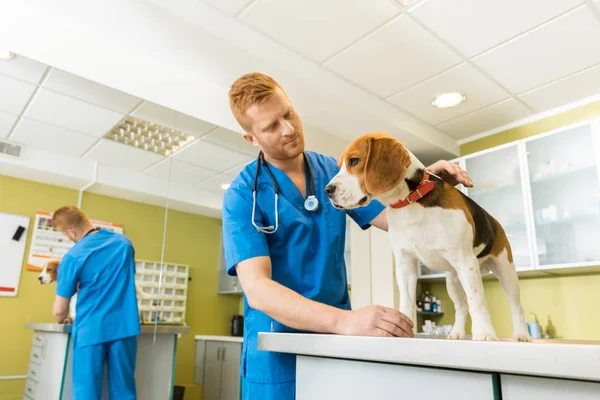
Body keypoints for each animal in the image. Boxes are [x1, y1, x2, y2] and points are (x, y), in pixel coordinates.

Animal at [326, 133, 532, 342]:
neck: (410, 201)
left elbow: (478, 301)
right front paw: (402, 327)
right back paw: (457, 333)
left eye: (354, 161)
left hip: (505, 271)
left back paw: (521, 335)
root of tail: (495, 221)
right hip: (453, 280)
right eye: (340, 165)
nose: (328, 190)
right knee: (461, 306)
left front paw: (484, 333)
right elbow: (406, 300)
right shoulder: (405, 264)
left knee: (516, 307)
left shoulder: (465, 261)